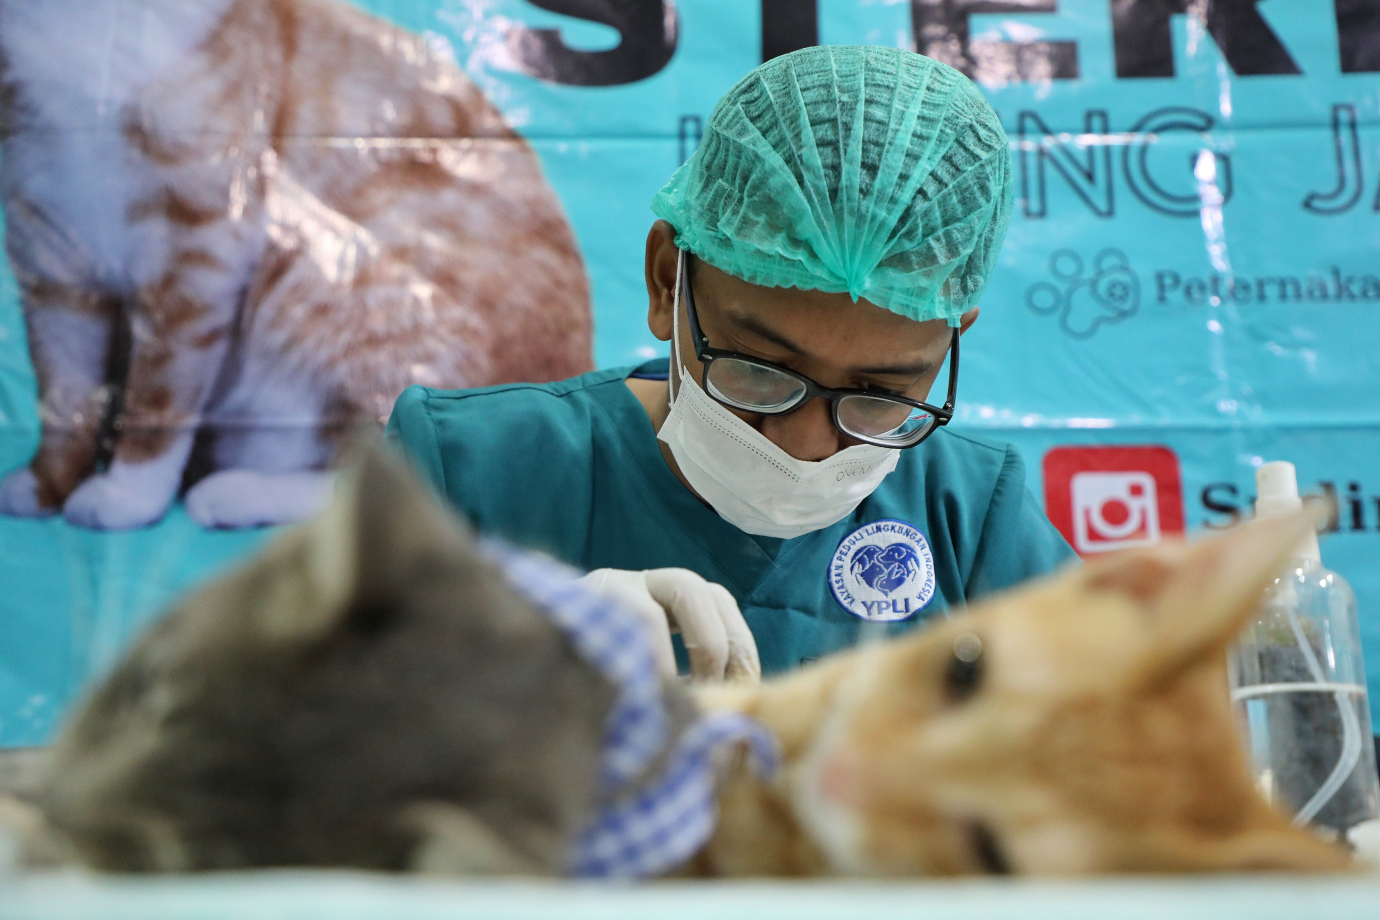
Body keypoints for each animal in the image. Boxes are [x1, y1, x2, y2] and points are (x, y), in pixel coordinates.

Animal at [0, 0, 592, 531]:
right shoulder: (50, 250)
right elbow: (64, 391)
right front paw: (47, 483)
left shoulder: (199, 245)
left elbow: (159, 393)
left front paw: (127, 495)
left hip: (325, 267)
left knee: (399, 476)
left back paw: (230, 494)